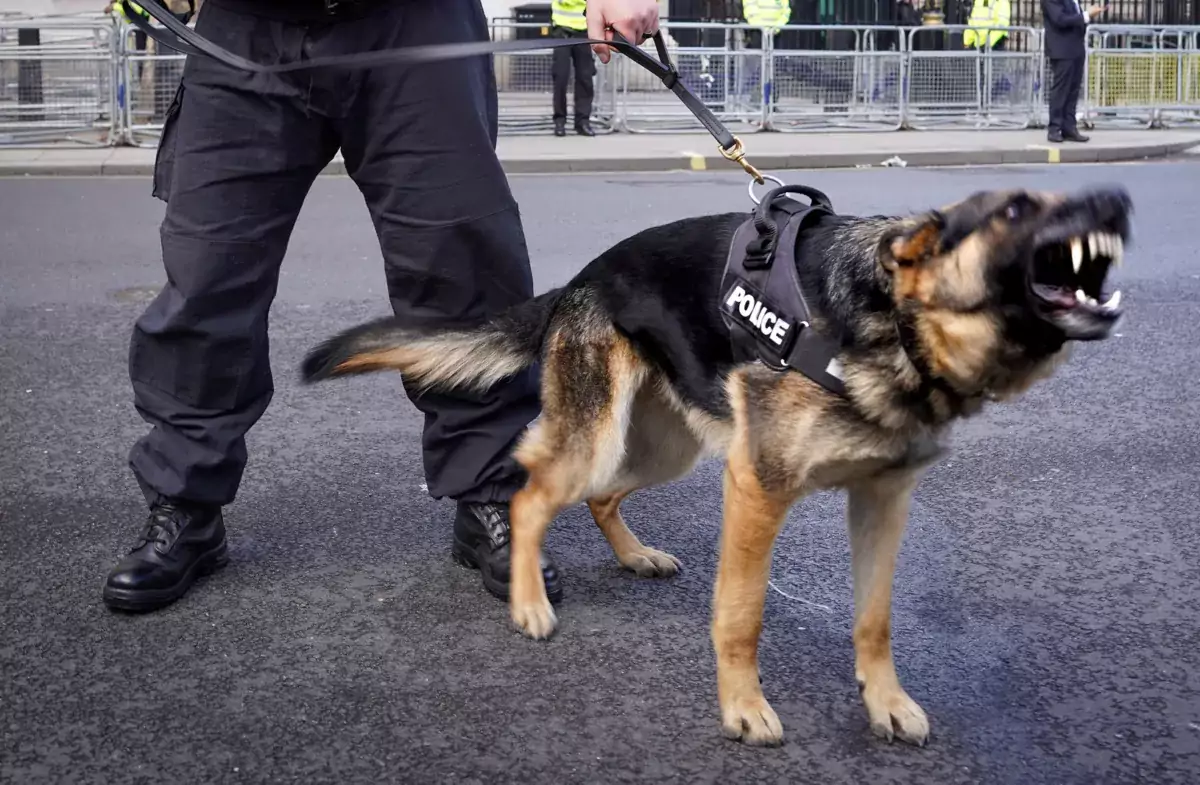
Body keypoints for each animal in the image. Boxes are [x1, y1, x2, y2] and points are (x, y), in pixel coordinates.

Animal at [302, 184, 1132, 748]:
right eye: (1016, 209)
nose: (1116, 198)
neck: (885, 316)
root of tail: (577, 281)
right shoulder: (757, 488)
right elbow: (742, 613)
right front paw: (743, 707)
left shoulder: (882, 500)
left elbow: (875, 618)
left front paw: (886, 701)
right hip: (603, 439)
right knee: (531, 496)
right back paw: (529, 603)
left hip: (665, 447)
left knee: (602, 498)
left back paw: (635, 555)